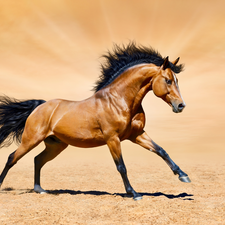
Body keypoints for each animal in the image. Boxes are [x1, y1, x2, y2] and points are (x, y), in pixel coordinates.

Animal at [0, 43, 190, 200]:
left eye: (176, 80)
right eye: (168, 80)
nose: (181, 105)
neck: (119, 101)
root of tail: (39, 106)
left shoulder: (137, 135)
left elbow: (161, 150)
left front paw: (183, 175)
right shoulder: (112, 139)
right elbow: (121, 166)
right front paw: (134, 194)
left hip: (56, 145)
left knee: (37, 160)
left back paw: (40, 189)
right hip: (31, 140)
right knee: (12, 158)